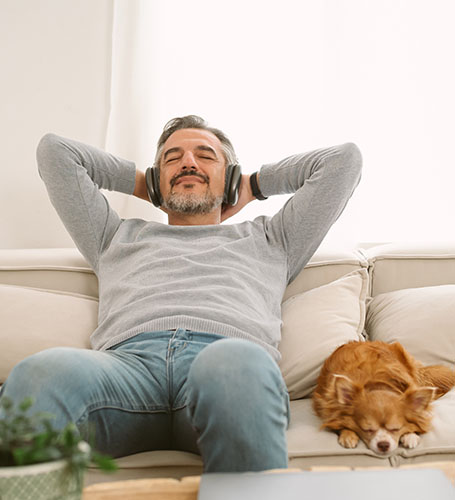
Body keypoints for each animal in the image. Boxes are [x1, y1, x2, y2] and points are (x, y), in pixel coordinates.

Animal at [314, 342, 455, 456]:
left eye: (396, 429)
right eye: (367, 430)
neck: (376, 384)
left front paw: (410, 436)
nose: (383, 445)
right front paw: (348, 434)